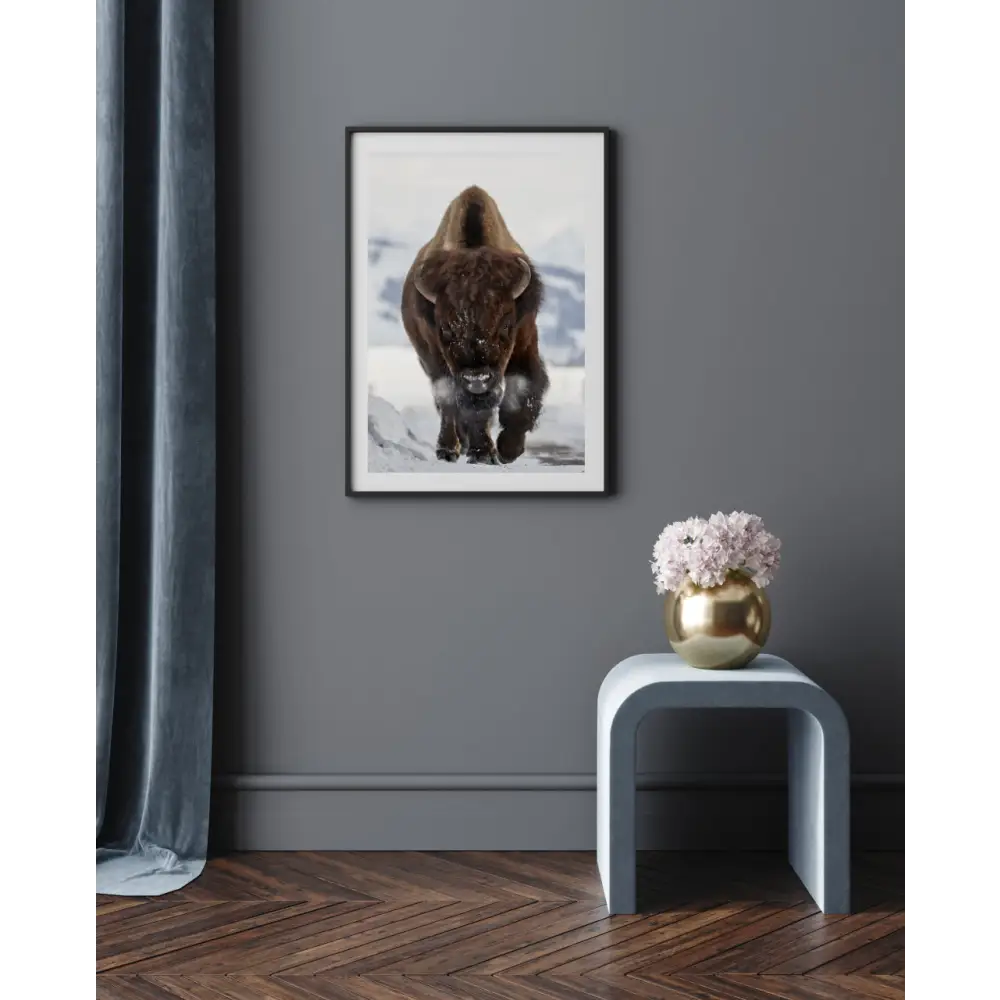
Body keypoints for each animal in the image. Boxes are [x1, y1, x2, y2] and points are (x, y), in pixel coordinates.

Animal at [400, 186, 549, 465]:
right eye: (446, 329)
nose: (477, 380)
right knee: (448, 405)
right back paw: (449, 449)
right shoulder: (439, 359)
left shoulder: (525, 343)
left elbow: (521, 391)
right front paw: (482, 453)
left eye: (506, 326)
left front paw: (508, 450)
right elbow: (459, 403)